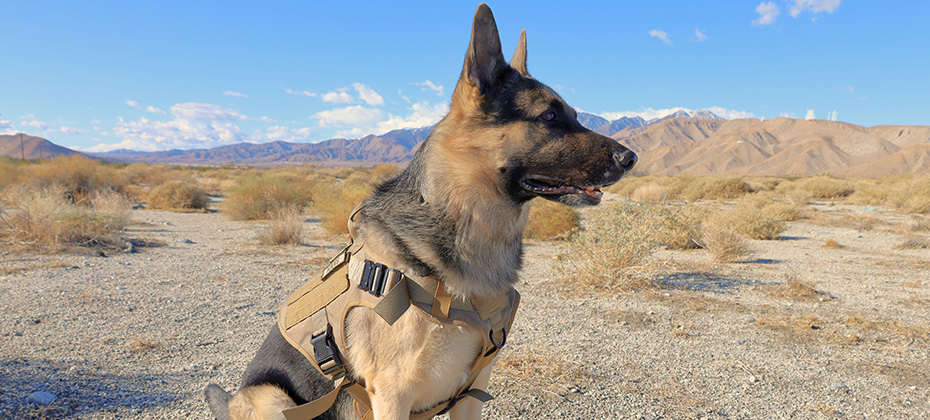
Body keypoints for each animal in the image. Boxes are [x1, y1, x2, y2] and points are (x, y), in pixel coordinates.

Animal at [204, 4, 636, 420]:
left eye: (575, 115)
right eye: (548, 116)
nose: (630, 158)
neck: (467, 218)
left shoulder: (471, 395)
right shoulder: (392, 395)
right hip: (272, 397)